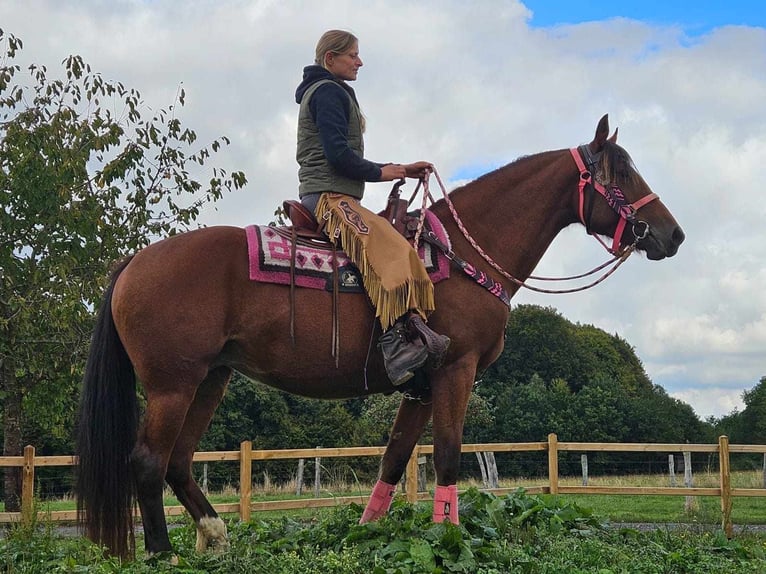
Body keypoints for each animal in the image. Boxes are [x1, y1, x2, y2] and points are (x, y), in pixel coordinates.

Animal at [75, 115, 688, 560]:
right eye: (620, 175)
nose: (673, 235)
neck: (459, 254)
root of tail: (133, 263)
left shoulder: (420, 384)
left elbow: (393, 460)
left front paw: (366, 535)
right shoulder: (455, 371)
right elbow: (447, 457)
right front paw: (448, 538)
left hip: (211, 378)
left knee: (178, 461)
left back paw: (217, 539)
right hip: (173, 385)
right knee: (148, 461)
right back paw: (162, 553)